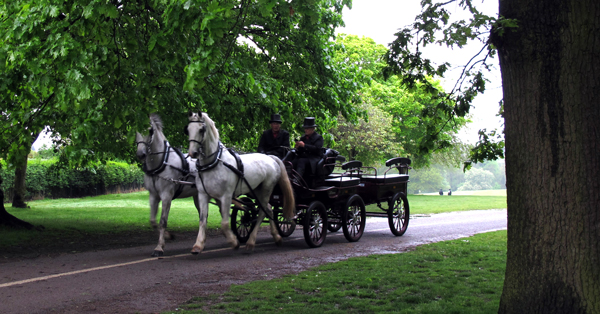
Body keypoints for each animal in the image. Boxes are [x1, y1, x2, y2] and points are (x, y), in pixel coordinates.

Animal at [135, 114, 198, 256]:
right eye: (135, 131)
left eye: (150, 130)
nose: (140, 154)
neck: (162, 162)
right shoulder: (153, 195)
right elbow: (153, 221)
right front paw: (168, 237)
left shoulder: (166, 196)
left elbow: (163, 221)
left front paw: (159, 248)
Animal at [185, 110, 292, 253]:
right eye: (188, 130)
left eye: (201, 129)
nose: (193, 153)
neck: (214, 164)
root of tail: (270, 157)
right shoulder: (203, 195)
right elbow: (202, 220)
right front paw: (198, 245)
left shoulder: (226, 196)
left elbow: (224, 223)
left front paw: (234, 242)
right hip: (255, 191)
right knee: (269, 209)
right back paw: (277, 237)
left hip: (266, 189)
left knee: (262, 212)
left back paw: (251, 242)